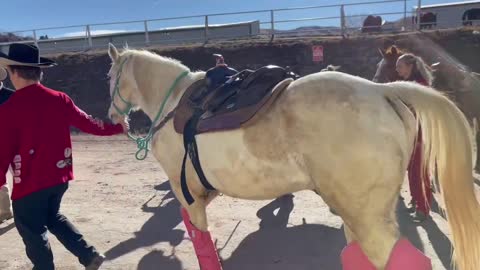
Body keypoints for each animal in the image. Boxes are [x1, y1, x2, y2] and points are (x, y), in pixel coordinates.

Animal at [107, 43, 480, 268]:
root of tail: (382, 90)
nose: (112, 115)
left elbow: (200, 239)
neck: (175, 105)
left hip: (368, 219)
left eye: (110, 77)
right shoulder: (200, 192)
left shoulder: (185, 192)